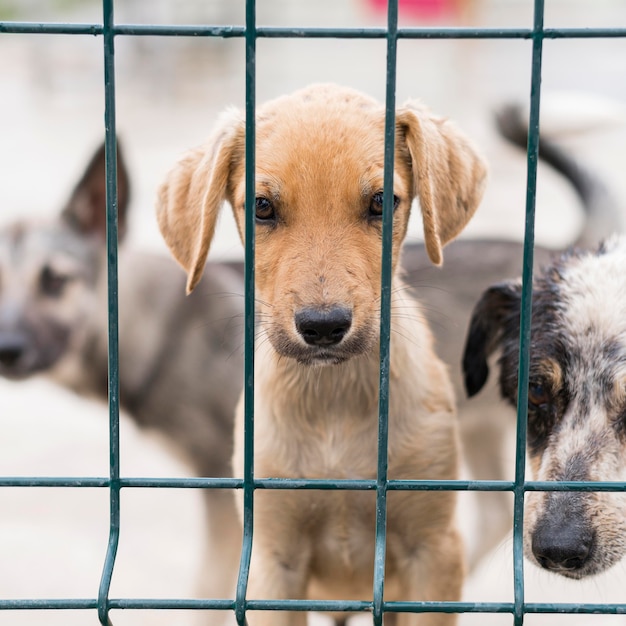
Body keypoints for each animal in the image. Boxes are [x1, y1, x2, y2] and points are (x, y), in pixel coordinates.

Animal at [156, 84, 488, 624]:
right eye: (262, 207)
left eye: (381, 202)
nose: (324, 327)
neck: (335, 401)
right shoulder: (273, 560)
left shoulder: (433, 552)